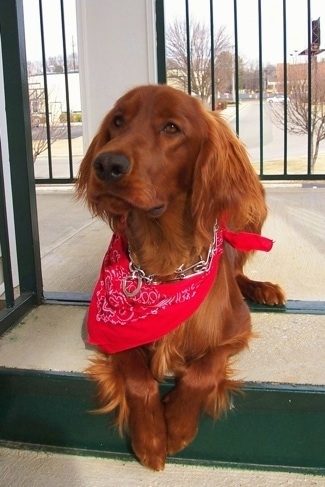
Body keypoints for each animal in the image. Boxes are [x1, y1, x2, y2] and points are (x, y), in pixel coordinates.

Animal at [76, 85, 284, 472]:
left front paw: (178, 422)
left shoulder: (237, 327)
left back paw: (263, 289)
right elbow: (137, 376)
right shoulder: (109, 334)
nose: (107, 165)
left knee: (238, 270)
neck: (164, 264)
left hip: (251, 214)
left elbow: (203, 368)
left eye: (172, 127)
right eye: (118, 121)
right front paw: (152, 437)